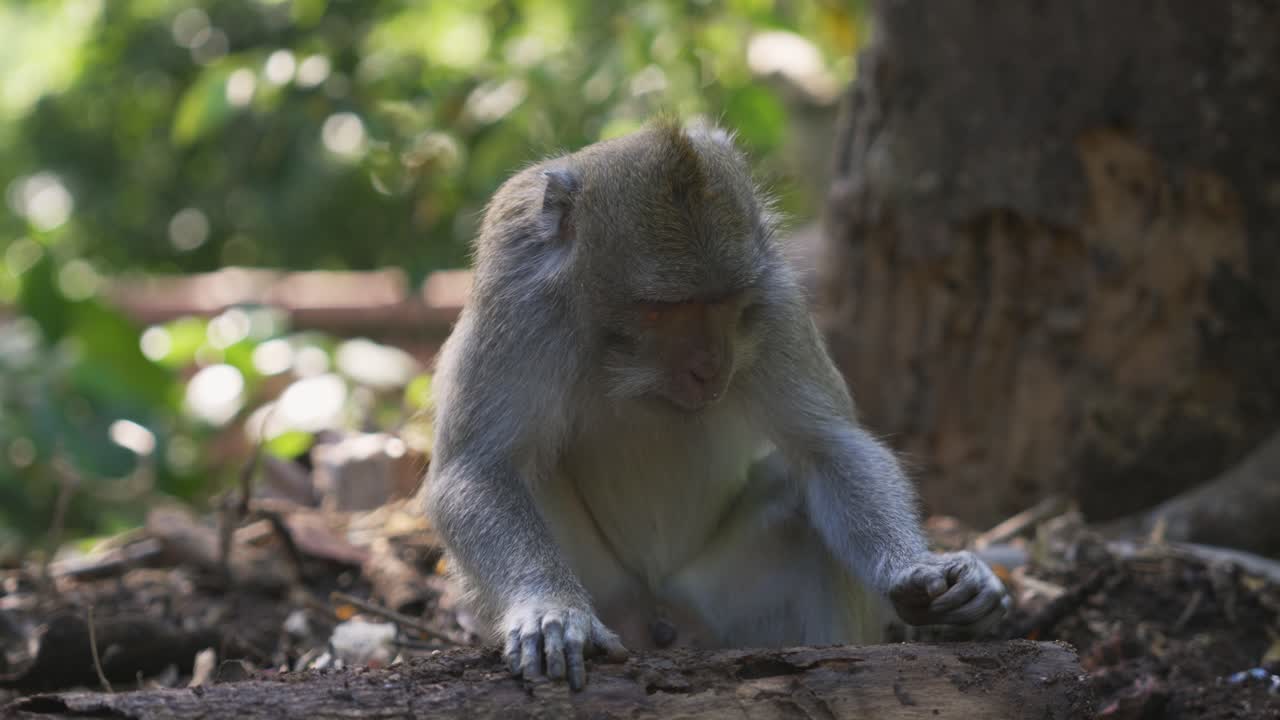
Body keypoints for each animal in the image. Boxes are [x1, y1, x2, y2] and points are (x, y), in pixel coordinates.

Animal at [421, 118, 1010, 691]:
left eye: (724, 300)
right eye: (662, 309)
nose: (710, 366)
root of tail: (657, 618)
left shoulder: (771, 294)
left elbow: (828, 446)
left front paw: (916, 571)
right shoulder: (520, 293)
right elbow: (480, 468)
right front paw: (551, 608)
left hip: (715, 609)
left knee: (800, 496)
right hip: (611, 594)